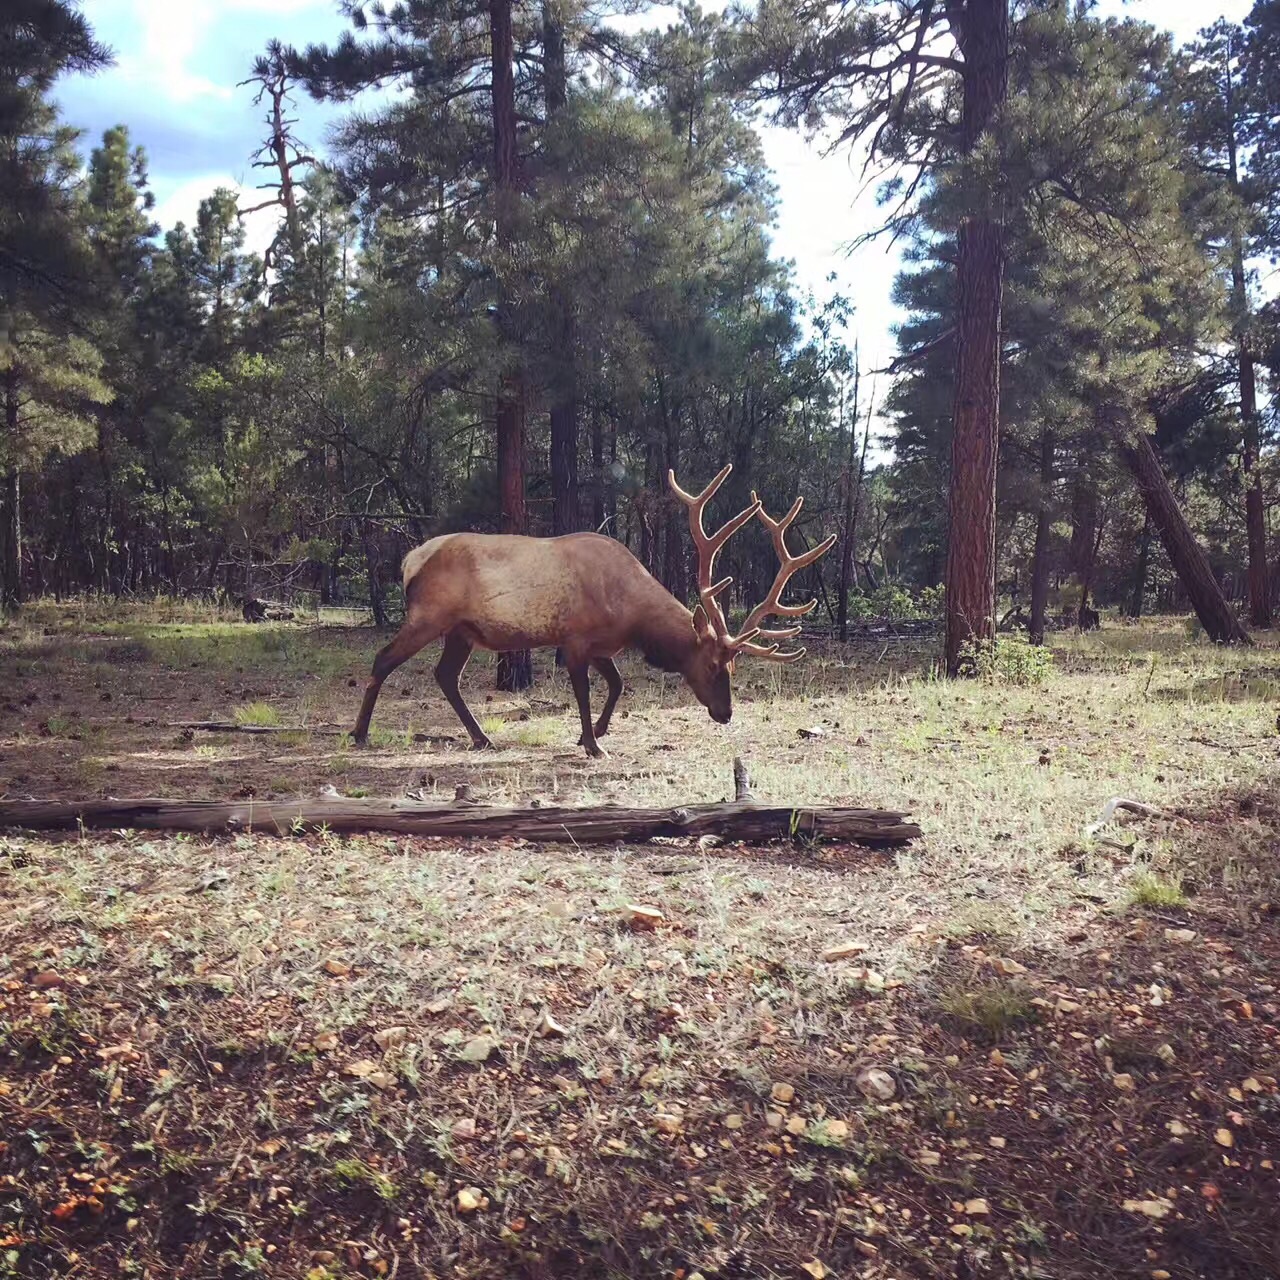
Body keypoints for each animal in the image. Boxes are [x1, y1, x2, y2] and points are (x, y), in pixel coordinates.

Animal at [353, 465, 829, 752]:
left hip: (462, 631)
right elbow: (583, 692)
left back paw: (482, 738)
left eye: (732, 667)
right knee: (383, 659)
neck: (633, 617)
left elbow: (617, 685)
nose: (725, 713)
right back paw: (359, 733)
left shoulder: (604, 645)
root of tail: (409, 561)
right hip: (428, 616)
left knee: (445, 675)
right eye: (714, 666)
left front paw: (595, 733)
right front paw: (593, 743)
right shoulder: (576, 639)